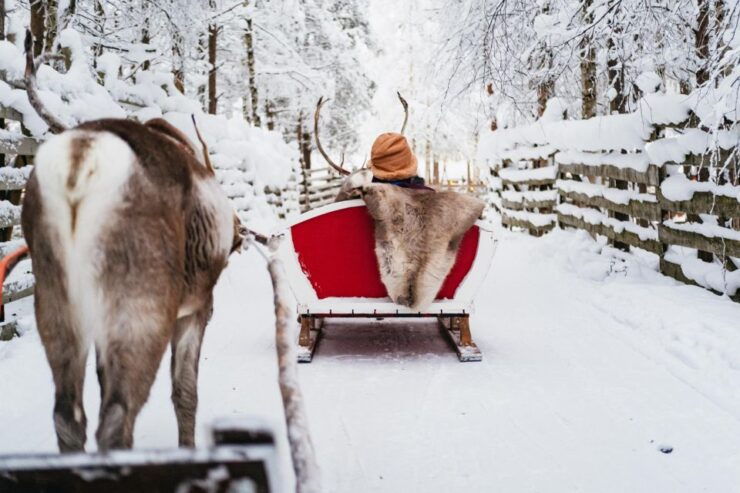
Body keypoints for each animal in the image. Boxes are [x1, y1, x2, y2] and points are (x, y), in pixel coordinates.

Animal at [19, 31, 243, 452]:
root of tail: (82, 156)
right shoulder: (197, 308)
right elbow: (185, 392)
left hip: (56, 295)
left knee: (67, 416)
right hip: (141, 298)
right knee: (116, 416)